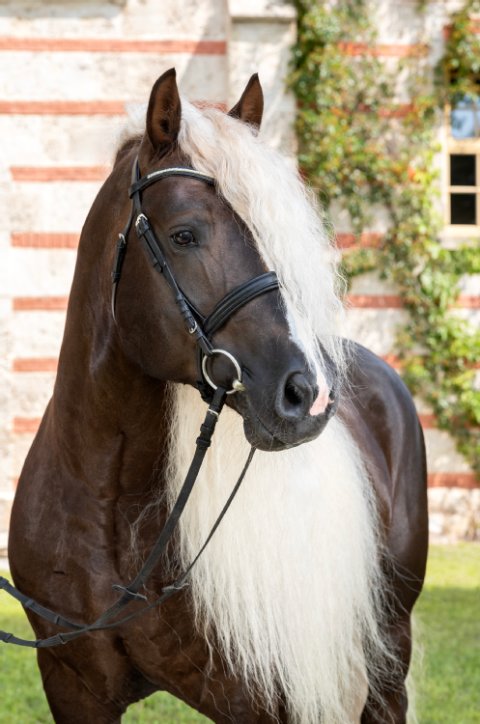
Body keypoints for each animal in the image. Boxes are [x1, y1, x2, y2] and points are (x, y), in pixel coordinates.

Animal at [7, 69, 428, 724]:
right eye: (185, 234)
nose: (305, 395)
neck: (108, 505)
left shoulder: (258, 700)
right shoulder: (74, 688)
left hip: (389, 656)